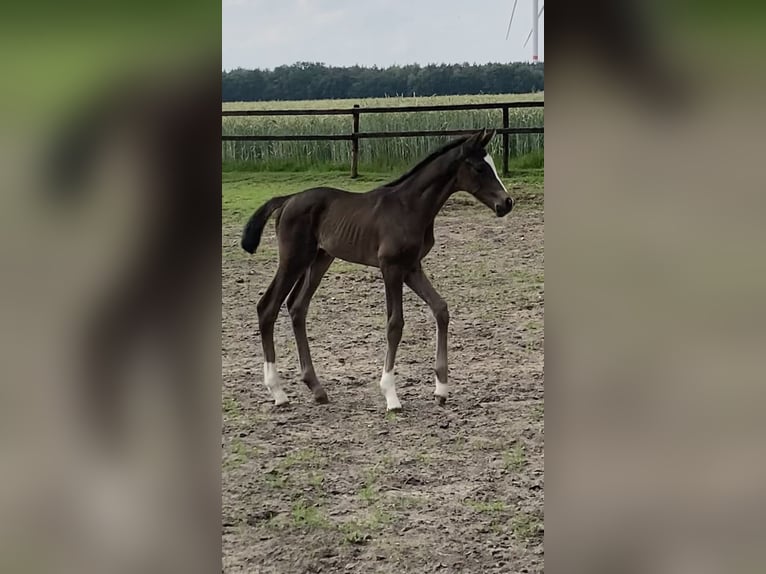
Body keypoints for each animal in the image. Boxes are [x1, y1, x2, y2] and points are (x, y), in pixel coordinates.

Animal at [241, 128, 514, 411]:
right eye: (480, 168)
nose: (507, 203)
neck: (410, 207)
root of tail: (286, 201)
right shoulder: (390, 268)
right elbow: (395, 324)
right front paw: (391, 395)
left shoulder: (411, 267)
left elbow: (440, 309)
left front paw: (441, 389)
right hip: (293, 260)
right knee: (267, 307)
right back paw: (278, 392)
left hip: (319, 259)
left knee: (297, 307)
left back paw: (316, 388)